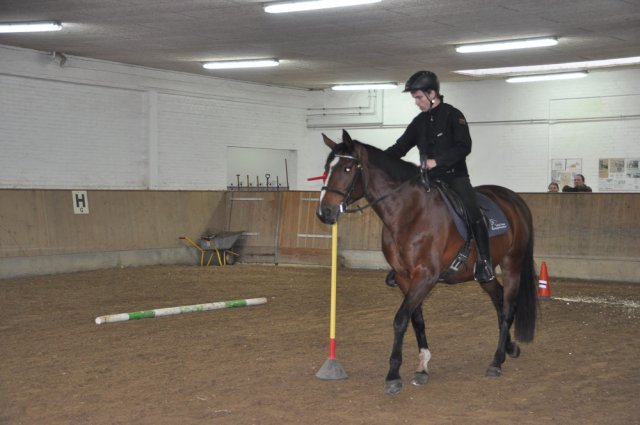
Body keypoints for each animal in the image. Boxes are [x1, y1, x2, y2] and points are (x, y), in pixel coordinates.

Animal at [316, 130, 537, 396]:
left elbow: (400, 320)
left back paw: (496, 361)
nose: (325, 213)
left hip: (512, 263)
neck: (409, 212)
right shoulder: (405, 278)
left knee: (508, 306)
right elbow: (417, 320)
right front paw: (422, 366)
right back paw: (508, 349)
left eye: (348, 168)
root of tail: (515, 200)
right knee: (499, 298)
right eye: (327, 168)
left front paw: (393, 375)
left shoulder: (425, 277)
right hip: (483, 275)